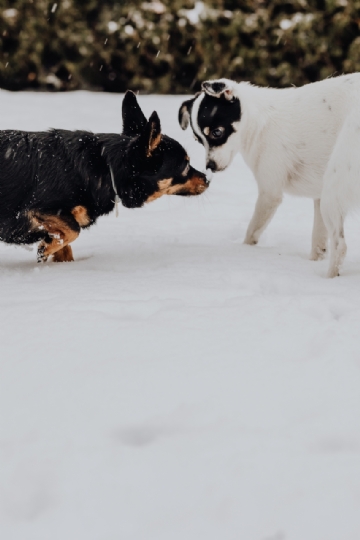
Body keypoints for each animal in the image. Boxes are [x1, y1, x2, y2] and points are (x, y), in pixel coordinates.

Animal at [0, 90, 208, 262]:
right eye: (185, 165)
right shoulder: (39, 209)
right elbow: (73, 230)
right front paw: (46, 247)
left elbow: (66, 245)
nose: (207, 179)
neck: (106, 168)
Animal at [180, 75, 360, 278]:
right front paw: (314, 260)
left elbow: (252, 231)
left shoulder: (270, 193)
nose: (210, 166)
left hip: (334, 187)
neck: (257, 122)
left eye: (217, 132)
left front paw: (244, 251)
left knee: (340, 246)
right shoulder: (318, 196)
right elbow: (318, 240)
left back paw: (328, 277)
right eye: (198, 140)